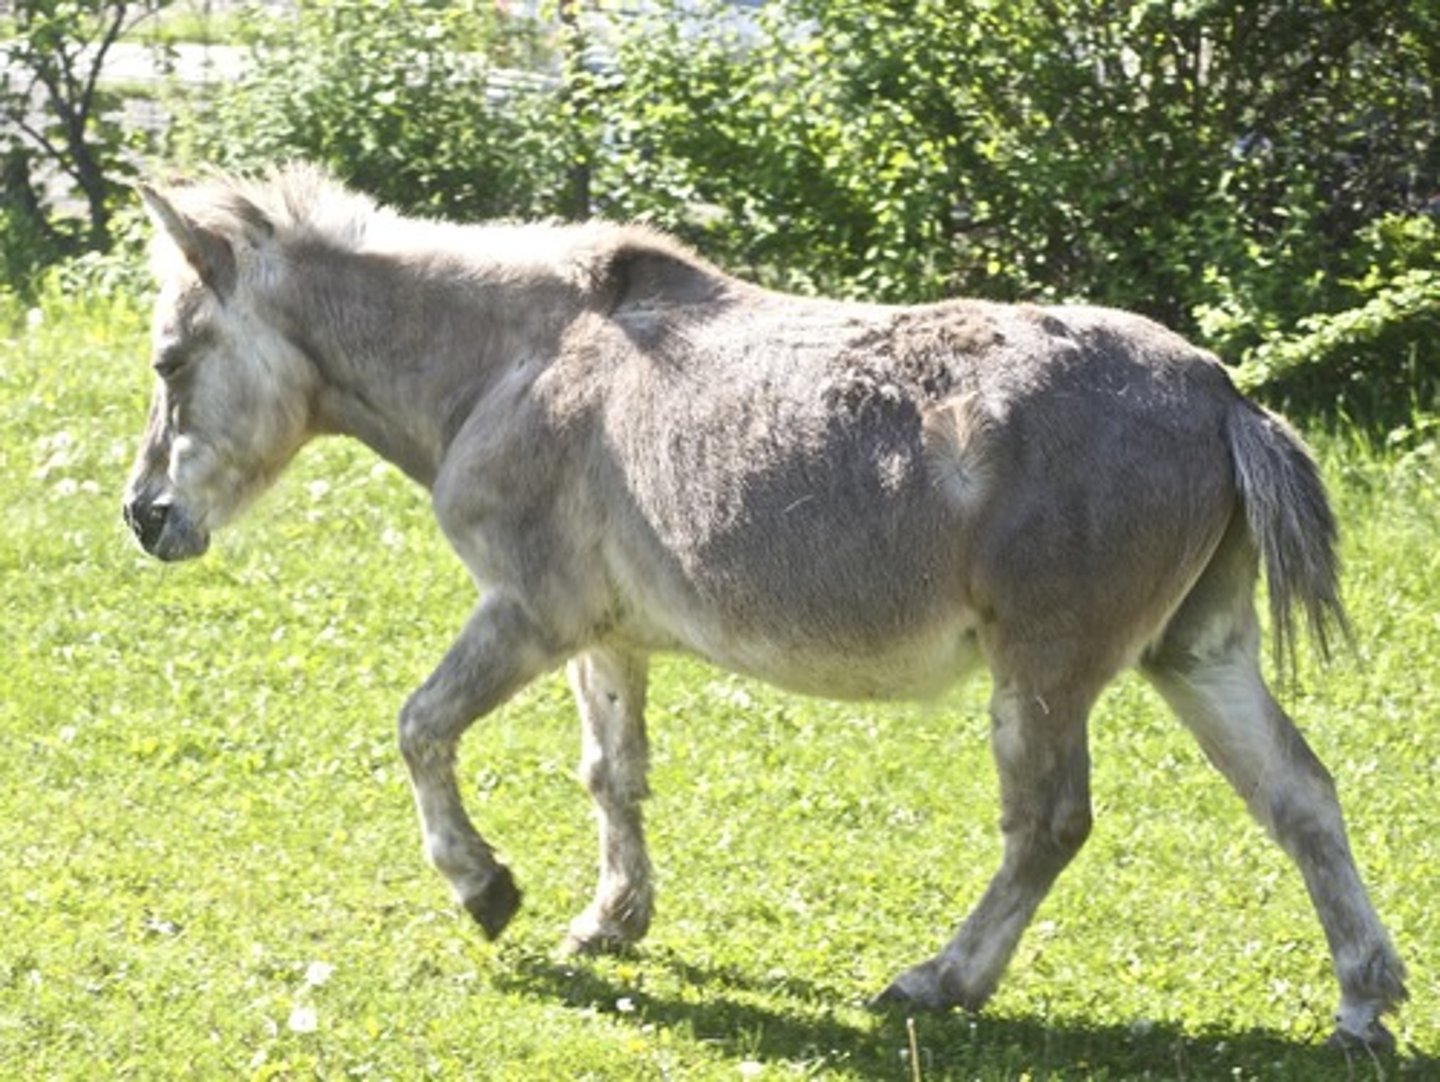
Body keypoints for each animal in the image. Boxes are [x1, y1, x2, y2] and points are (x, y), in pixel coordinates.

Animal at [122, 164, 1406, 1049]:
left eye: (172, 361)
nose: (143, 515)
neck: (518, 360)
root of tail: (1222, 396)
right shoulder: (602, 638)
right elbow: (612, 776)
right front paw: (611, 918)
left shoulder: (526, 614)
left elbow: (421, 727)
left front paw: (485, 888)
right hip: (1198, 657)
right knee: (1302, 797)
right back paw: (1363, 1000)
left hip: (1043, 675)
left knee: (1047, 826)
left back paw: (940, 980)